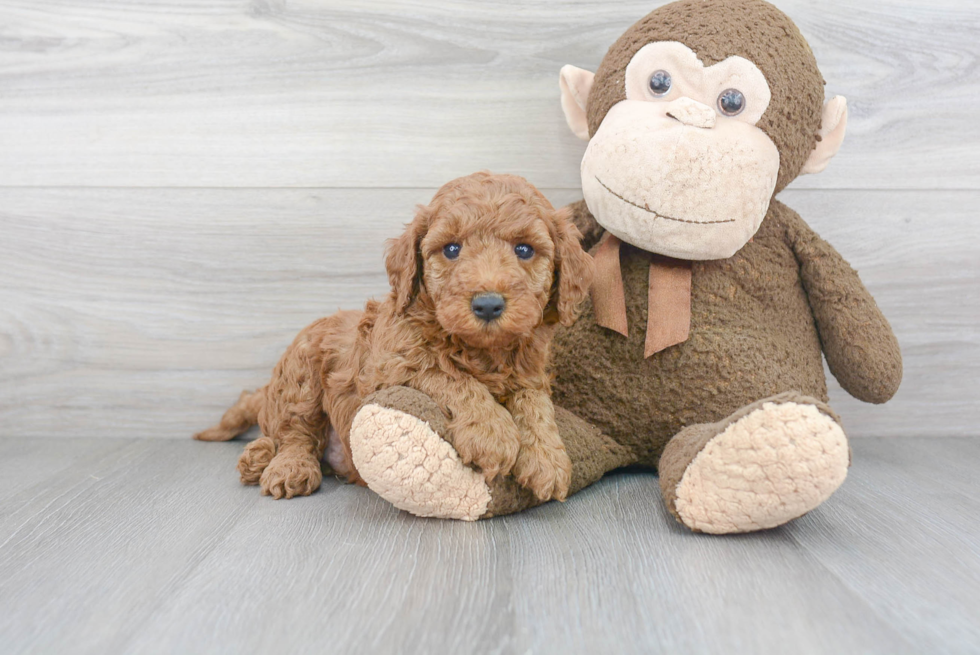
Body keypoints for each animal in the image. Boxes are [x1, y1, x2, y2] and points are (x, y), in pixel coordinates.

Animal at [195, 173, 592, 502]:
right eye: (451, 249)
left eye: (524, 249)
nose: (488, 305)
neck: (480, 350)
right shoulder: (389, 367)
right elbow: (451, 377)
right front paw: (491, 431)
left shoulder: (531, 373)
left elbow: (535, 403)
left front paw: (547, 457)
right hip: (302, 371)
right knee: (296, 433)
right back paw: (283, 466)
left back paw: (258, 457)